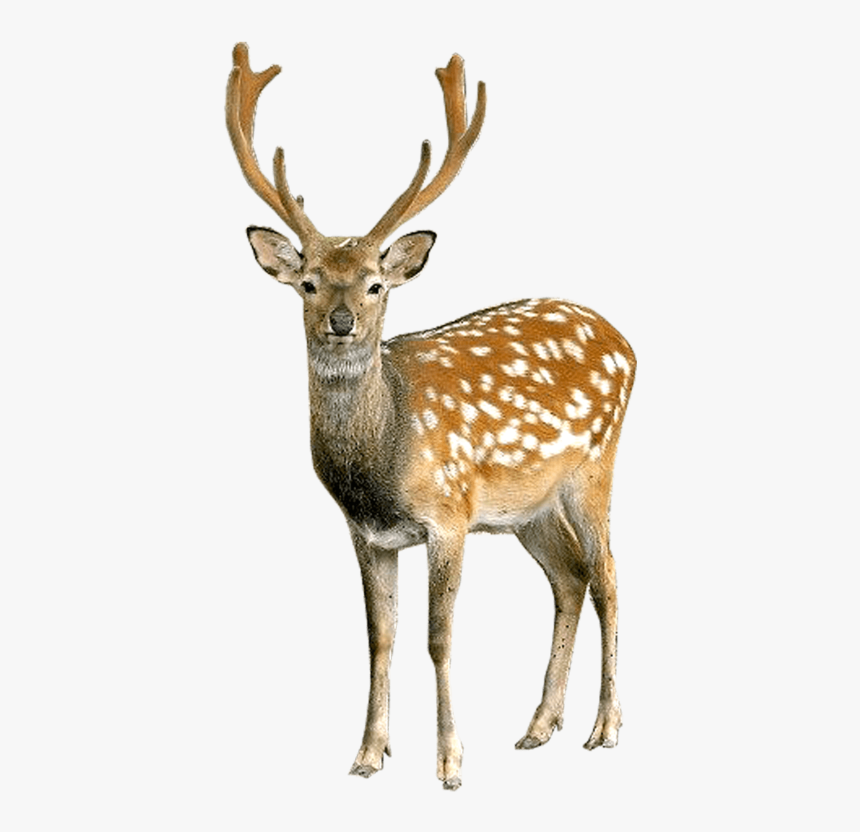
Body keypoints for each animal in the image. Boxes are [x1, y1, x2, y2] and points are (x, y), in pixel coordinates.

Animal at [226, 43, 636, 790]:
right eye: (308, 283)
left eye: (375, 285)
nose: (340, 322)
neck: (382, 460)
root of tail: (628, 342)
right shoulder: (368, 533)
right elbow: (379, 637)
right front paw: (367, 754)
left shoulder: (449, 514)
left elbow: (438, 637)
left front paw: (449, 763)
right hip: (526, 508)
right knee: (570, 577)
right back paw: (538, 726)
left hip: (594, 467)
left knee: (611, 578)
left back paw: (605, 728)